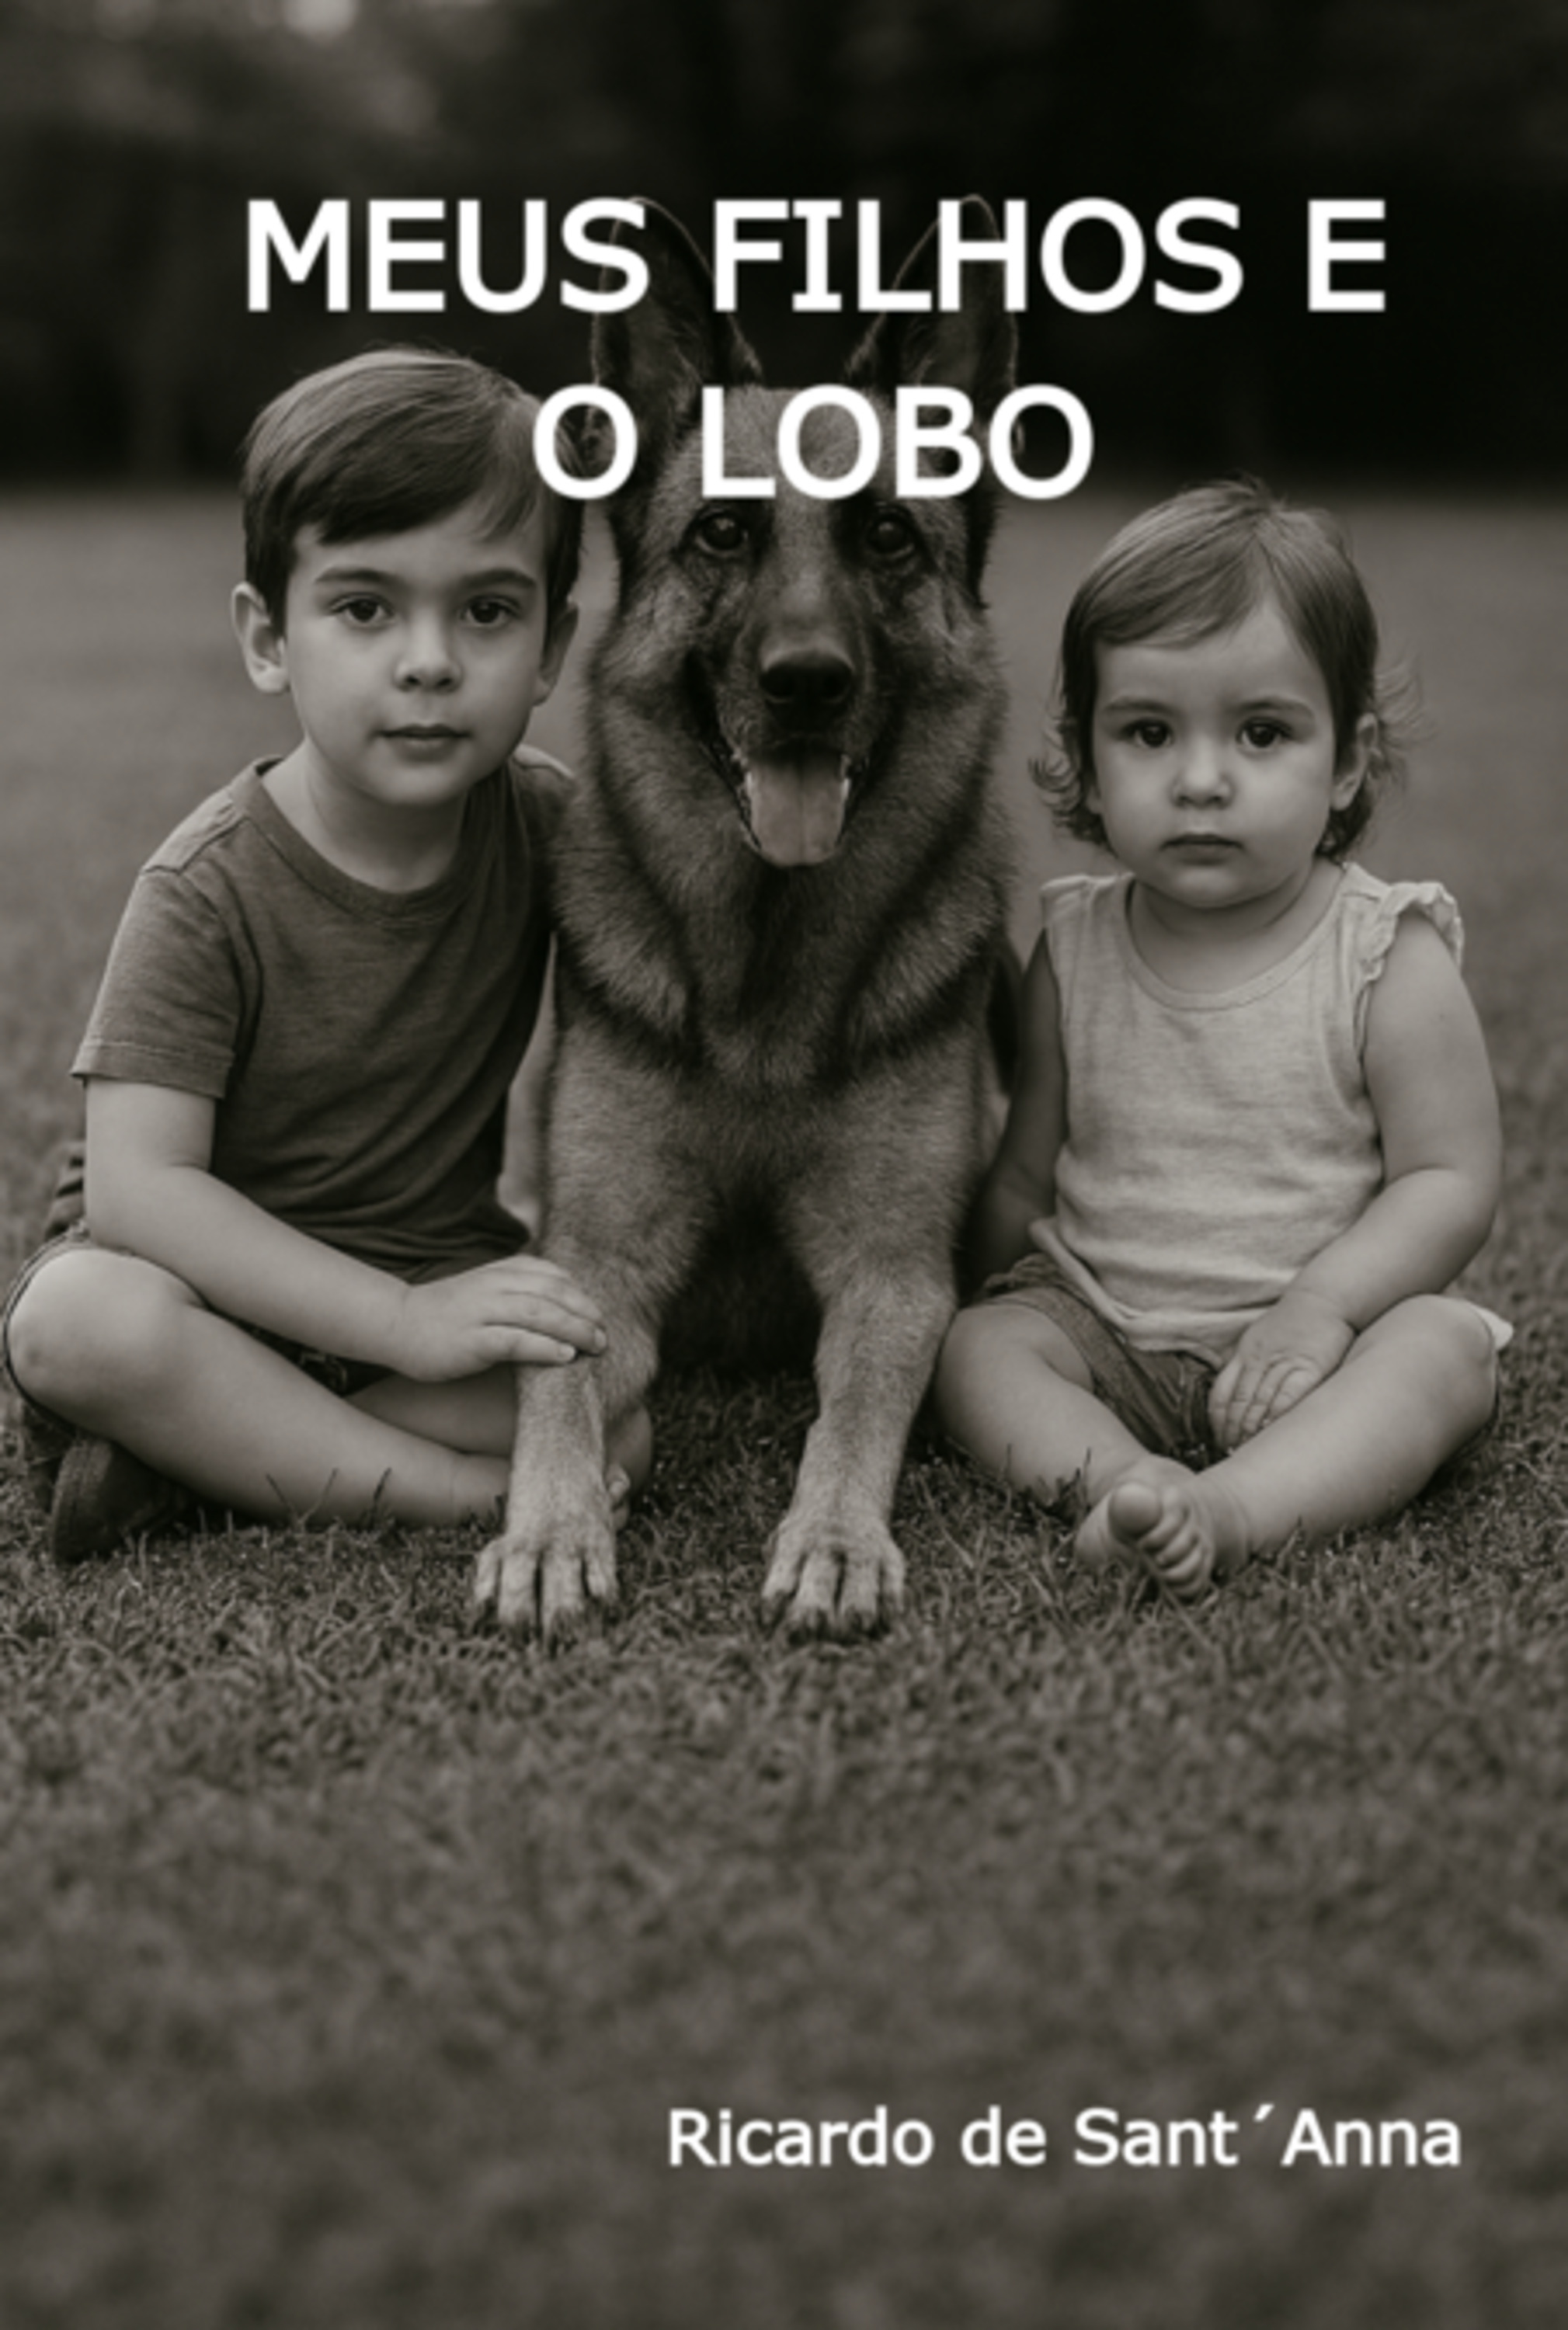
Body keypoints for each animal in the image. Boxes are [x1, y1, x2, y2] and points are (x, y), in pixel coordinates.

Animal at [474, 199, 1017, 1642]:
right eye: (722, 534)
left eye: (886, 537)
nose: (805, 683)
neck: (761, 983)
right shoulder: (591, 1261)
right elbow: (555, 1390)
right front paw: (548, 1528)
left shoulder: (892, 1274)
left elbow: (854, 1414)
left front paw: (831, 1539)